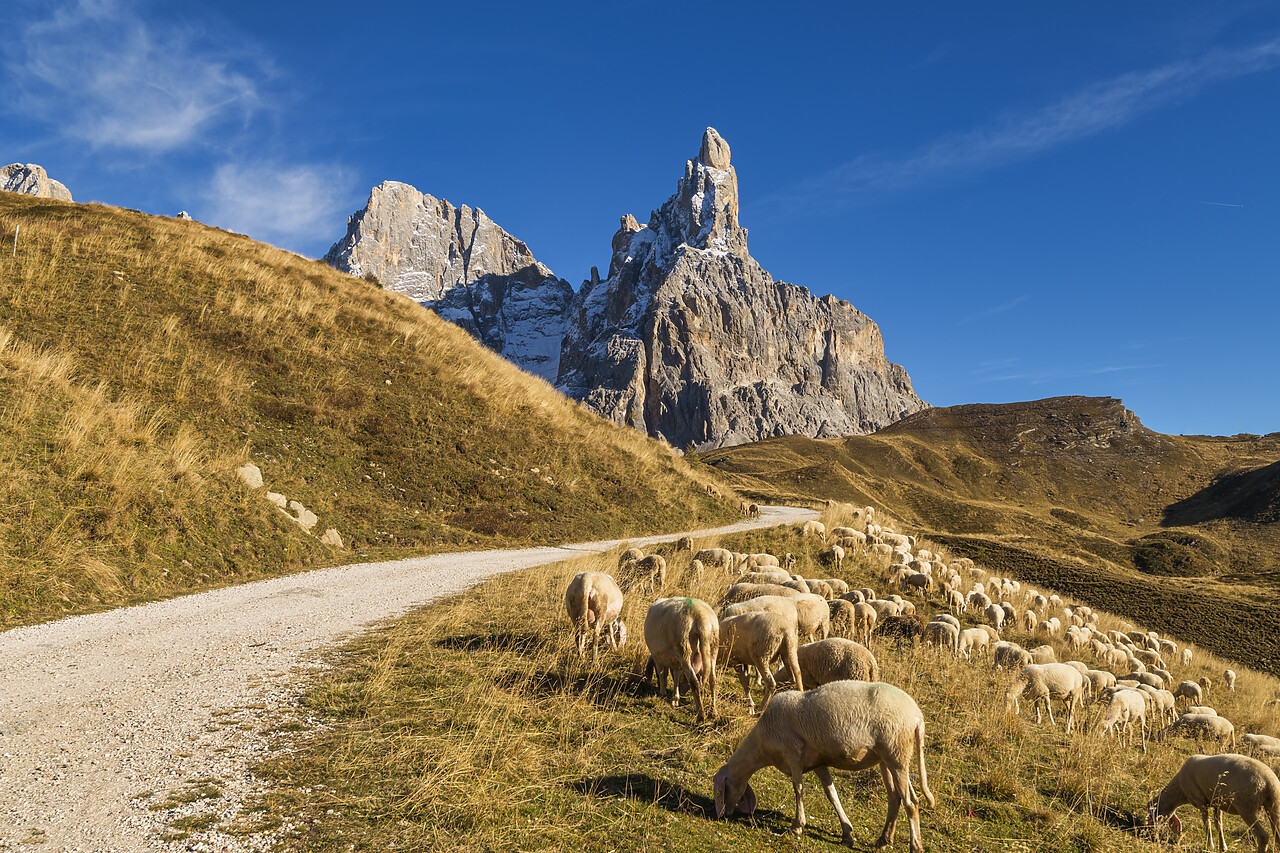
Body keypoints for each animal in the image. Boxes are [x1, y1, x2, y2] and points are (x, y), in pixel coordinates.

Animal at [640, 594, 721, 722]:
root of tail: (701, 617)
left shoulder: (657, 656)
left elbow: (662, 672)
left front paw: (663, 692)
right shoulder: (676, 660)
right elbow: (676, 675)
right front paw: (675, 698)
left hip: (684, 647)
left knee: (694, 682)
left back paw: (701, 716)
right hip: (713, 646)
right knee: (713, 680)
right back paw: (714, 713)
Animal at [706, 676, 936, 850]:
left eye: (722, 789)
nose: (723, 815)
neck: (762, 745)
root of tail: (917, 716)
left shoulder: (792, 751)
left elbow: (798, 788)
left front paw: (797, 826)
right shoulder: (817, 762)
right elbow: (831, 793)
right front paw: (846, 833)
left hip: (896, 753)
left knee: (911, 802)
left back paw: (915, 846)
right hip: (888, 758)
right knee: (895, 797)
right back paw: (883, 840)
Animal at [1146, 753, 1274, 845]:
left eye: (1152, 813)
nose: (1151, 833)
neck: (1179, 789)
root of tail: (1268, 781)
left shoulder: (1200, 801)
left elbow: (1207, 823)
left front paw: (1210, 845)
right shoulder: (1217, 804)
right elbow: (1219, 825)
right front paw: (1222, 847)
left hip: (1246, 807)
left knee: (1263, 836)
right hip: (1273, 805)